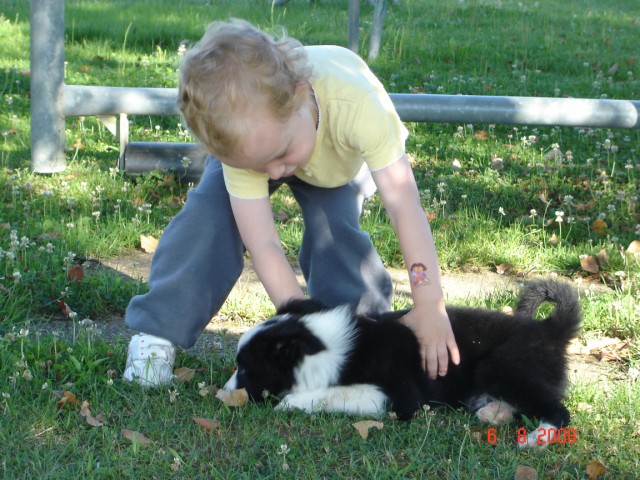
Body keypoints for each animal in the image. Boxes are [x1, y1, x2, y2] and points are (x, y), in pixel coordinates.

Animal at [225, 280, 580, 448]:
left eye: (245, 368)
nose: (225, 394)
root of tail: (549, 329)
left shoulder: (401, 398)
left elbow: (338, 392)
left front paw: (292, 402)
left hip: (500, 367)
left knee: (559, 411)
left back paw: (535, 439)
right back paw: (494, 412)